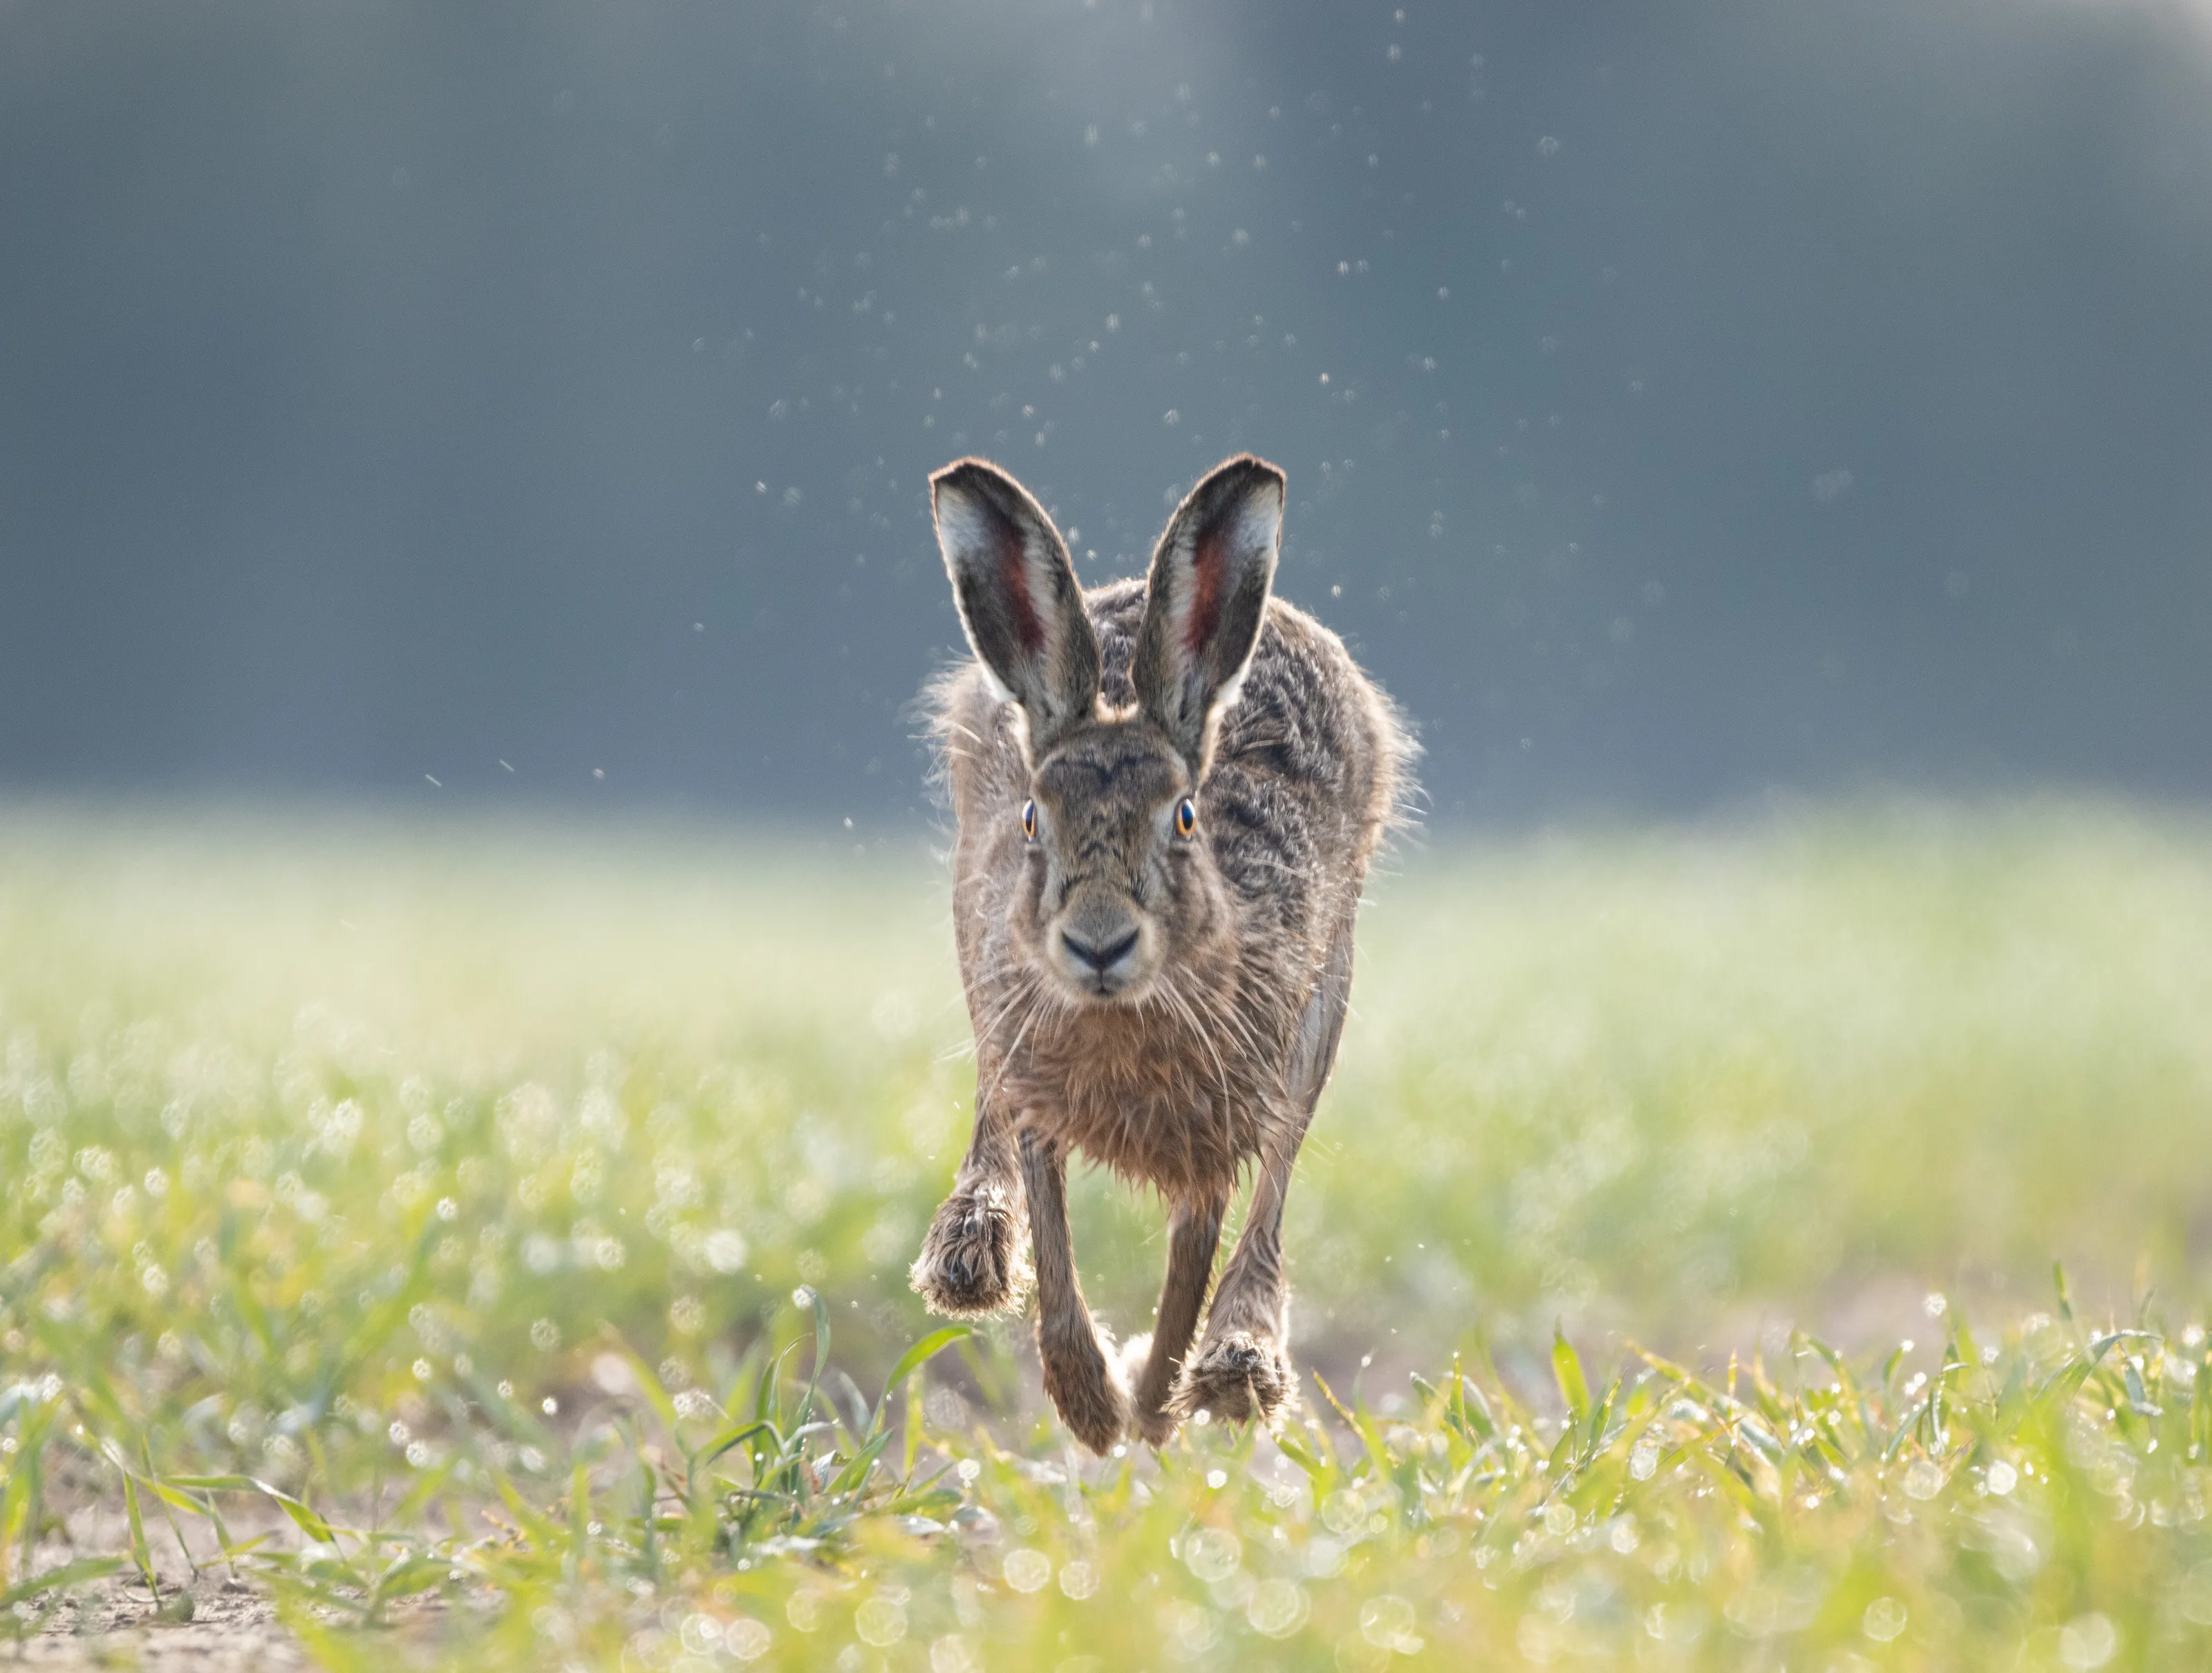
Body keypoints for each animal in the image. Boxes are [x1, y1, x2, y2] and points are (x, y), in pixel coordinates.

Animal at [909, 452, 1415, 1454]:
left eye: (1183, 817)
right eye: (1034, 820)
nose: (1097, 943)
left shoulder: (1223, 1119)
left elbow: (1197, 1250)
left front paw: (1152, 1398)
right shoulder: (1035, 1079)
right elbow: (1053, 1241)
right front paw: (1092, 1405)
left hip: (1320, 1006)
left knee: (1268, 1201)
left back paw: (1233, 1365)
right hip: (978, 952)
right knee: (987, 1114)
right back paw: (967, 1255)